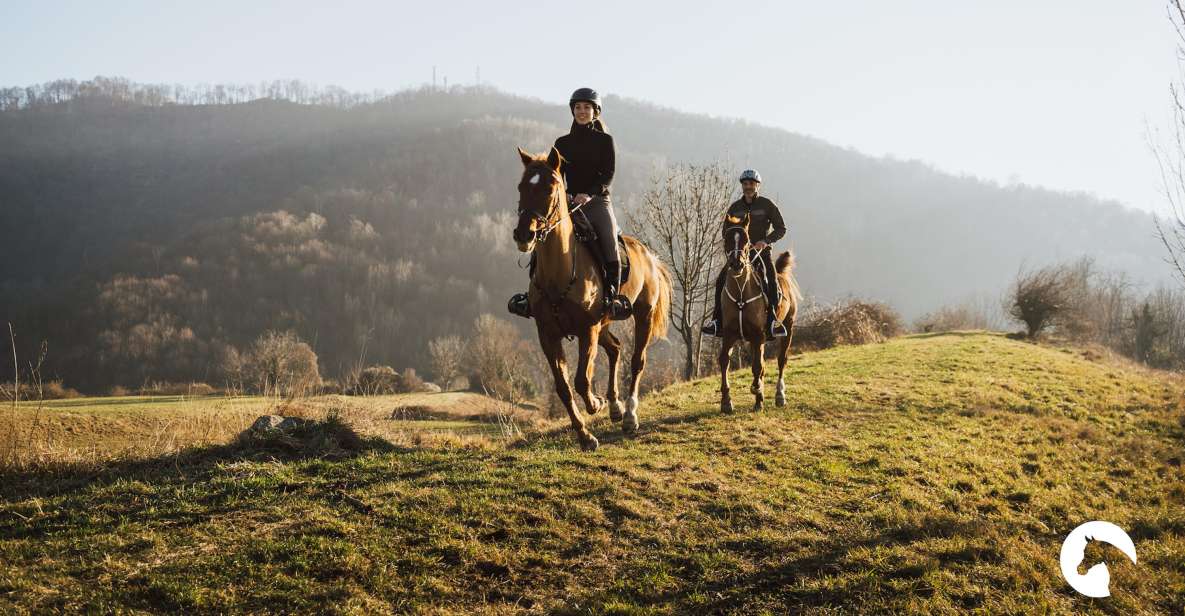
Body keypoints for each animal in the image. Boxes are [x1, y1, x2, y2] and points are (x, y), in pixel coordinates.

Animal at [514, 146, 673, 450]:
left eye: (550, 188)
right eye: (521, 187)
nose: (523, 234)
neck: (559, 272)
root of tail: (648, 254)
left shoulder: (587, 329)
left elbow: (581, 380)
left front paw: (595, 404)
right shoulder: (548, 334)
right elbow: (563, 387)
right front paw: (585, 436)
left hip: (642, 316)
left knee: (637, 361)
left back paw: (629, 416)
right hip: (605, 323)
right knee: (615, 348)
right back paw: (615, 407)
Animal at [715, 212, 801, 414]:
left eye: (746, 240)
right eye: (727, 239)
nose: (737, 264)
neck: (741, 291)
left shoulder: (758, 335)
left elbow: (757, 366)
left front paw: (757, 392)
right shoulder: (729, 334)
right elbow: (724, 361)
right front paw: (726, 401)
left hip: (788, 328)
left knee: (781, 360)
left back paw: (779, 395)